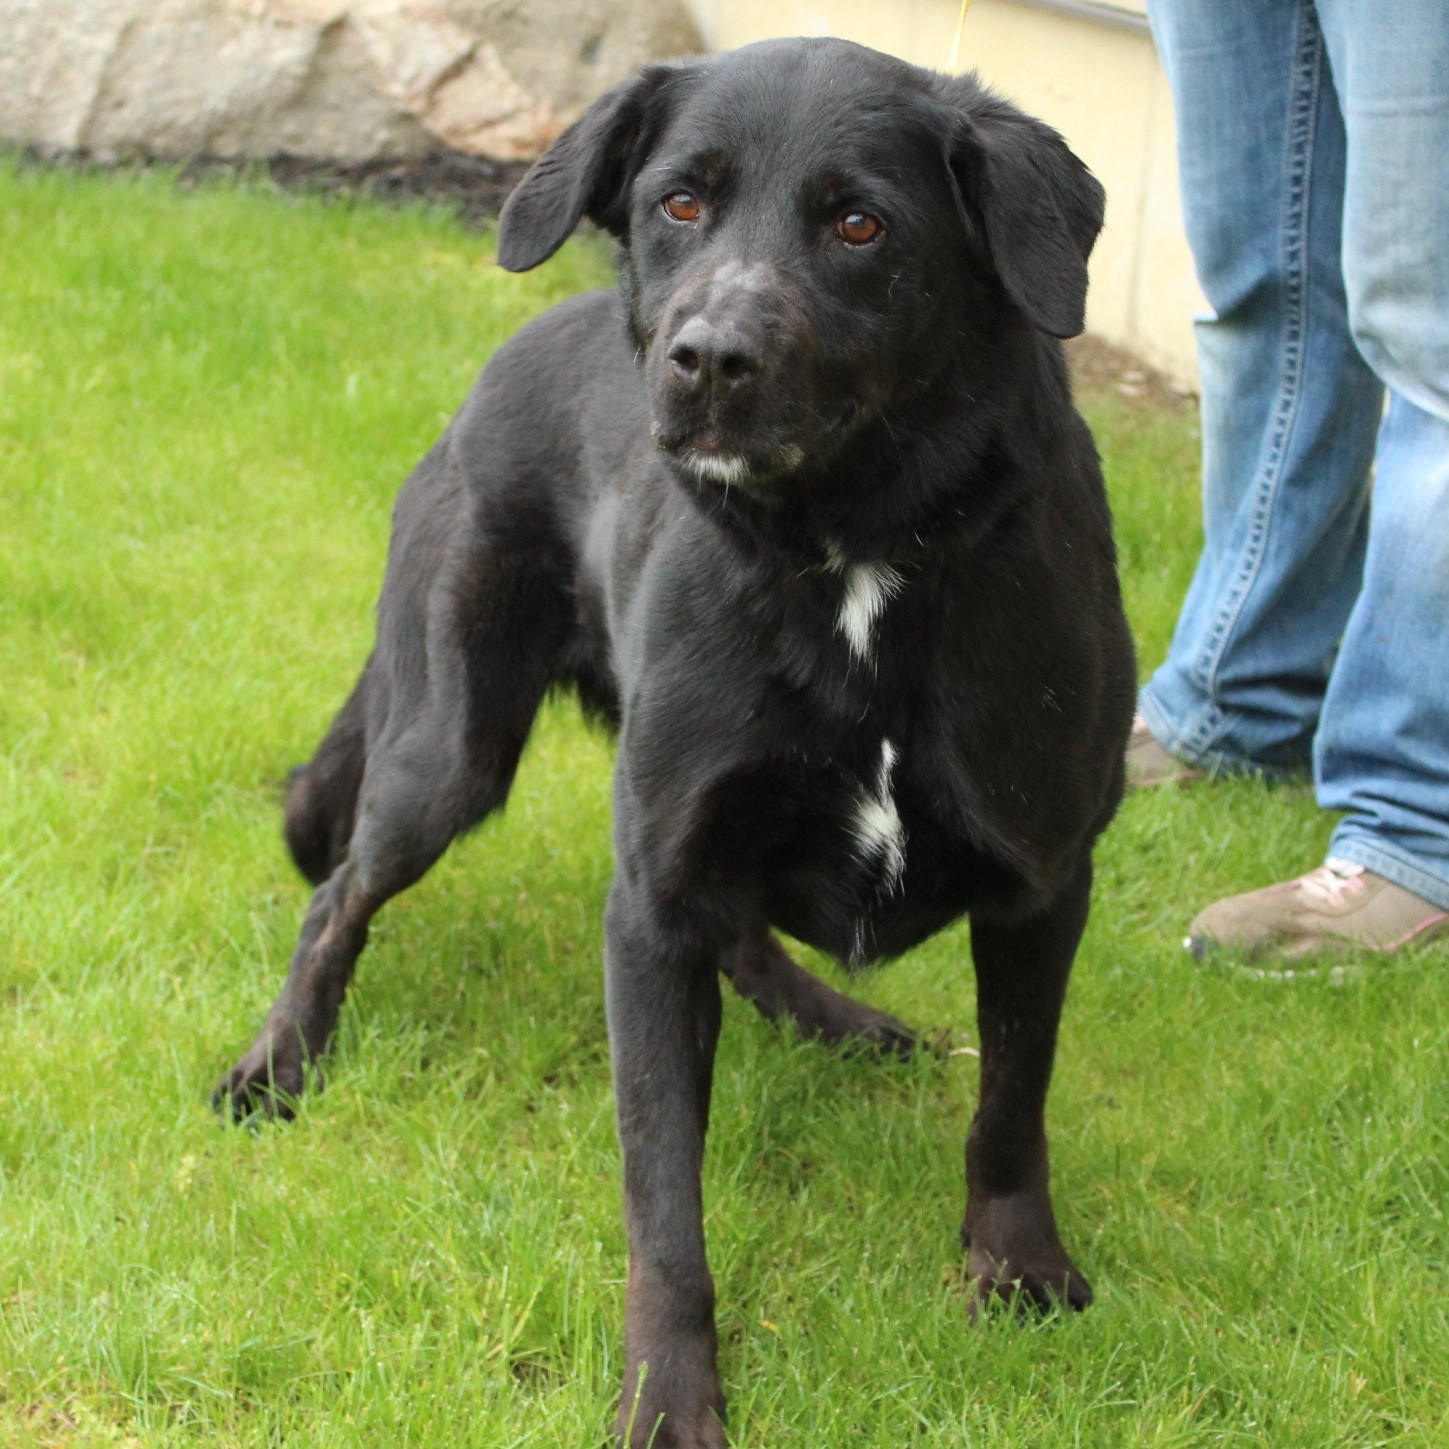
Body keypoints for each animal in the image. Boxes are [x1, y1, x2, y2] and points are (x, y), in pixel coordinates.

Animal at [220, 36, 1136, 1449]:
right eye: (681, 204)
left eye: (861, 224)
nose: (707, 359)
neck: (855, 552)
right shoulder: (648, 902)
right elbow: (664, 1204)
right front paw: (667, 1394)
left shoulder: (1043, 882)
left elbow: (1010, 1105)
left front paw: (1020, 1268)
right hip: (448, 750)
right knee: (339, 895)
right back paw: (279, 1066)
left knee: (748, 934)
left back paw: (831, 1017)